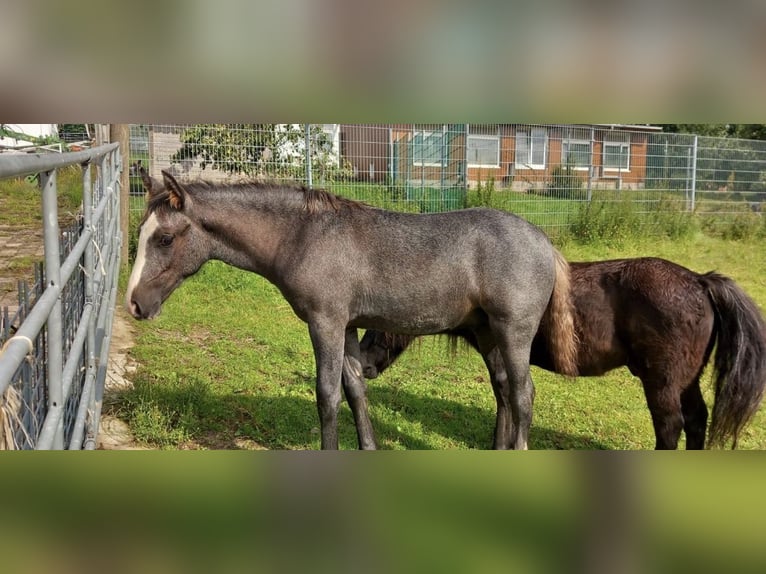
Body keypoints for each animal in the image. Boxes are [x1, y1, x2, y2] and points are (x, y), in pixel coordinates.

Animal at [125, 169, 578, 449]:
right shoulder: (346, 326)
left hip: (513, 332)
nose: (134, 303)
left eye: (165, 238)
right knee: (503, 389)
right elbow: (356, 389)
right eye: (143, 232)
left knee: (522, 394)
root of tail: (545, 243)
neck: (303, 236)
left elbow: (327, 395)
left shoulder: (324, 322)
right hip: (487, 333)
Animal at [359, 257, 766, 449]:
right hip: (686, 380)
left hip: (662, 382)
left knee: (671, 427)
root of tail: (700, 280)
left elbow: (507, 397)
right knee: (697, 420)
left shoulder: (503, 356)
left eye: (379, 323)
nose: (363, 367)